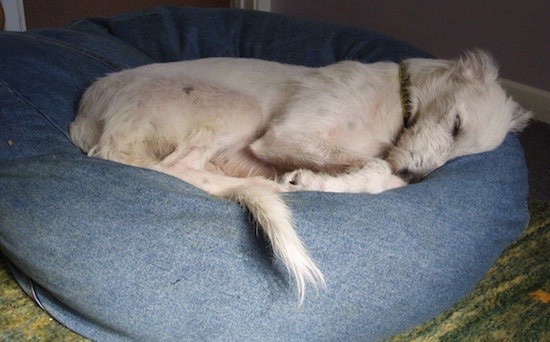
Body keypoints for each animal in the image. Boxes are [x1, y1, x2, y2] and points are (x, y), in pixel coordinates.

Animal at [69, 49, 532, 304]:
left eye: (462, 155)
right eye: (456, 125)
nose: (417, 176)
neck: (394, 106)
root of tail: (88, 113)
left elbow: (378, 174)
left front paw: (320, 182)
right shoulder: (283, 135)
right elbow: (383, 170)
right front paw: (313, 182)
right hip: (236, 109)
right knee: (176, 167)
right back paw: (265, 186)